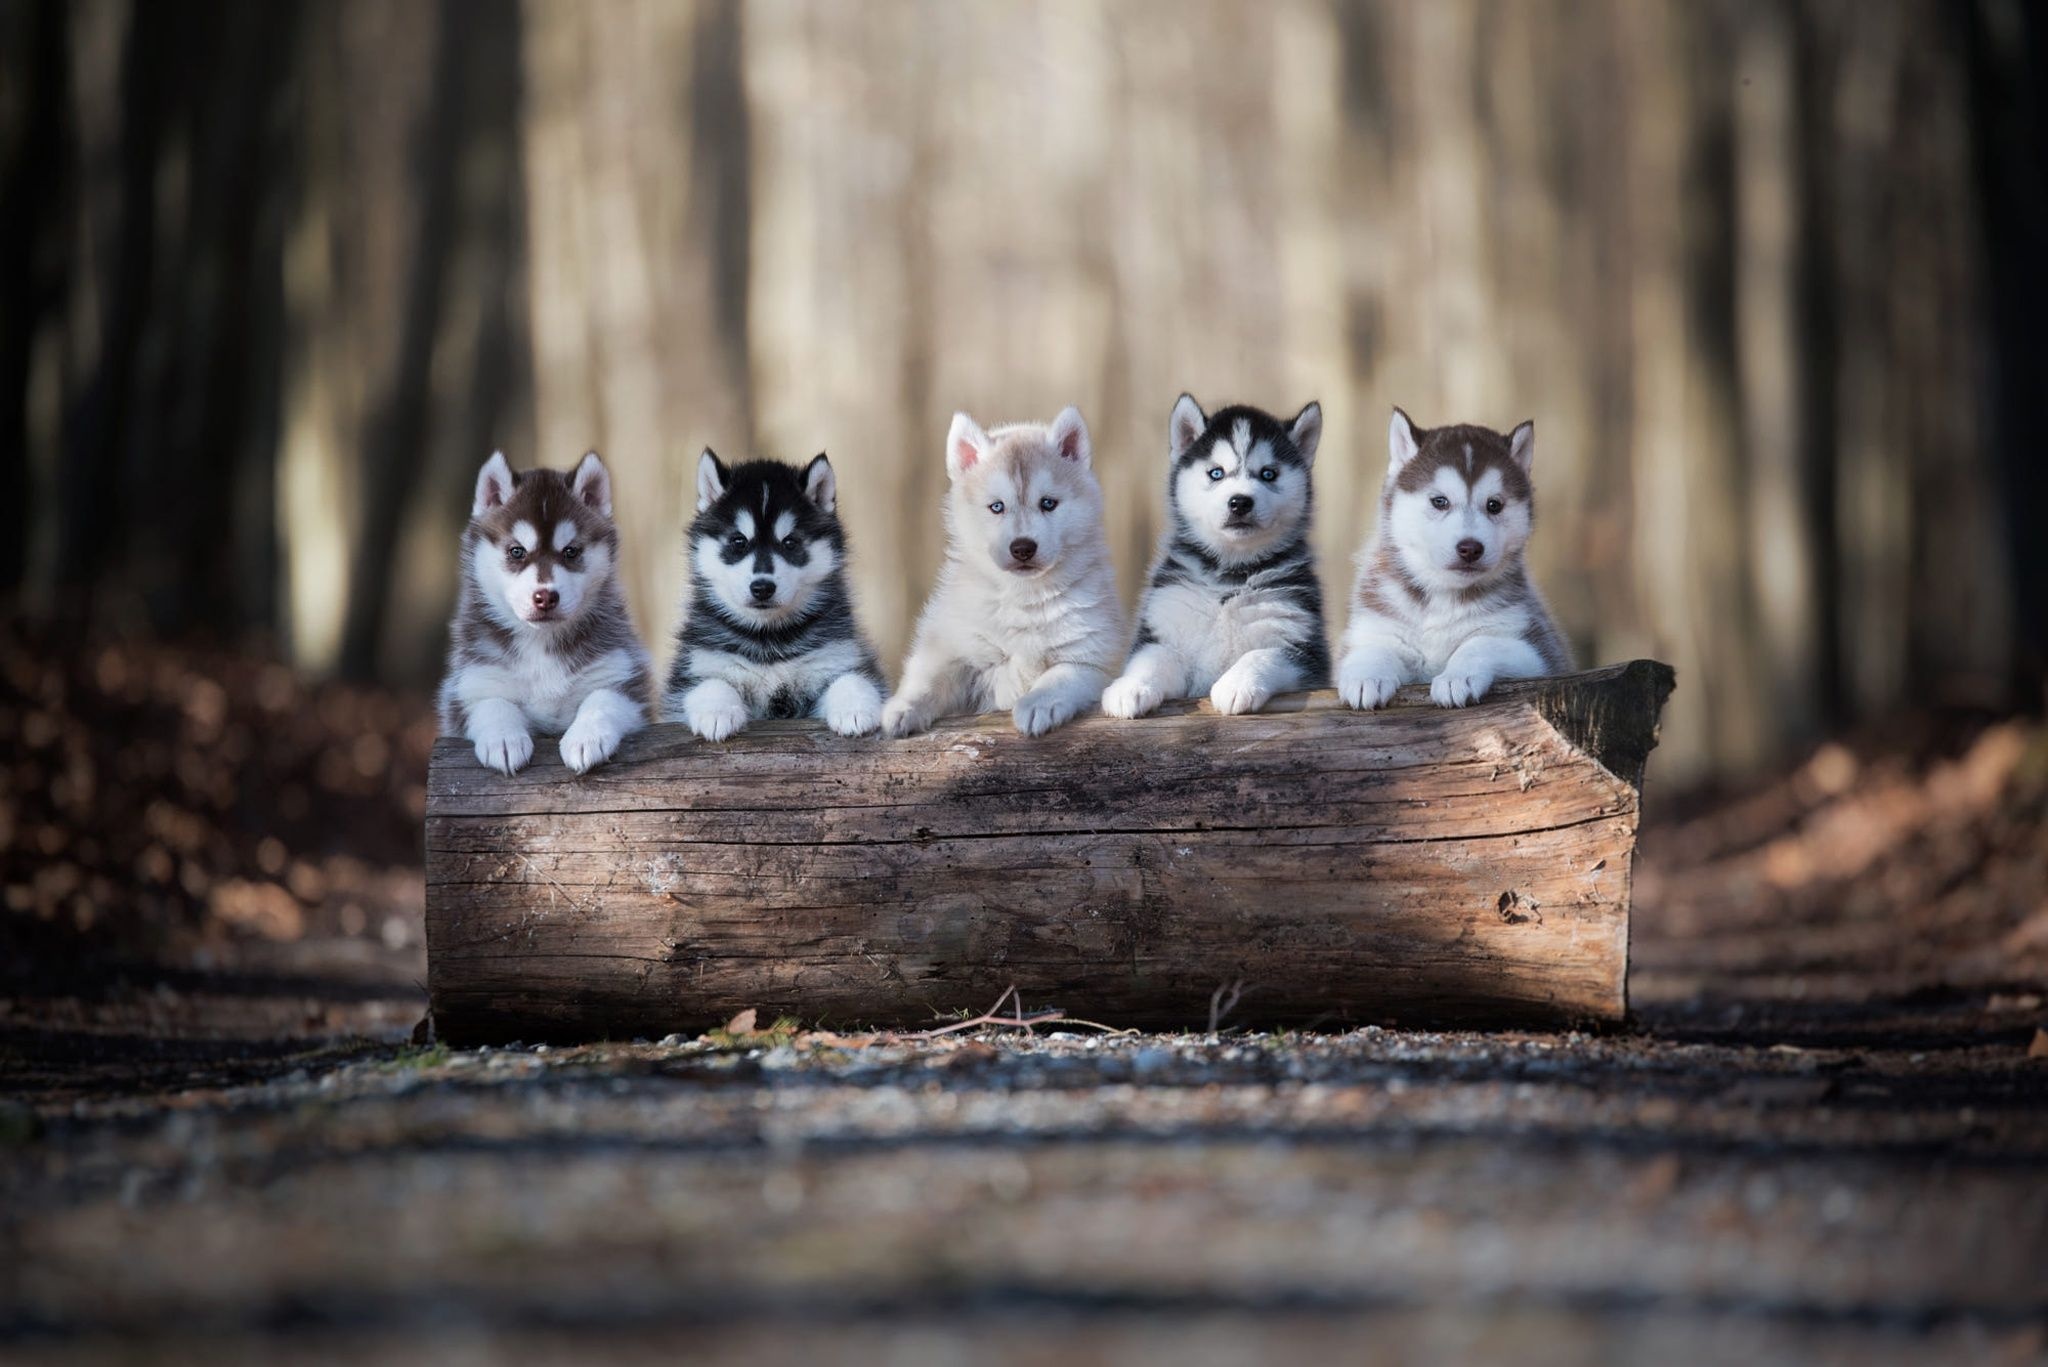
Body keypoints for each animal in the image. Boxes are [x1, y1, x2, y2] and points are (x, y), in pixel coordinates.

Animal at [438, 448, 647, 770]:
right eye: (516, 551)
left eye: (571, 551)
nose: (546, 597)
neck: (540, 641)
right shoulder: (472, 683)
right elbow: (492, 703)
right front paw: (504, 740)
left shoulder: (621, 674)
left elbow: (602, 700)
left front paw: (586, 738)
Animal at [655, 450, 880, 741]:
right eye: (739, 541)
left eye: (790, 542)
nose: (762, 587)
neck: (769, 638)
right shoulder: (696, 665)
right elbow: (710, 682)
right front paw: (716, 712)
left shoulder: (835, 657)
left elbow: (852, 678)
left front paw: (855, 708)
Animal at [884, 405, 1130, 737]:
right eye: (997, 507)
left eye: (1048, 503)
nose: (1023, 548)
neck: (1024, 596)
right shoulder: (952, 644)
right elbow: (930, 679)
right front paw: (903, 707)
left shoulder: (1090, 658)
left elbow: (1058, 677)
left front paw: (1037, 703)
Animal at [1105, 393, 1327, 717]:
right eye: (1216, 473)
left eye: (1268, 474)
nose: (1240, 502)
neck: (1230, 575)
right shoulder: (1165, 628)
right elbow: (1151, 659)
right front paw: (1131, 687)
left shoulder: (1303, 648)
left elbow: (1263, 653)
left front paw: (1237, 684)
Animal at [1335, 409, 1572, 713]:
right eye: (1440, 501)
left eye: (1494, 505)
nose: (1470, 548)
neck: (1443, 595)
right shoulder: (1375, 625)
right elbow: (1373, 648)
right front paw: (1366, 676)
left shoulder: (1538, 651)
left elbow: (1481, 643)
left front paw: (1457, 677)